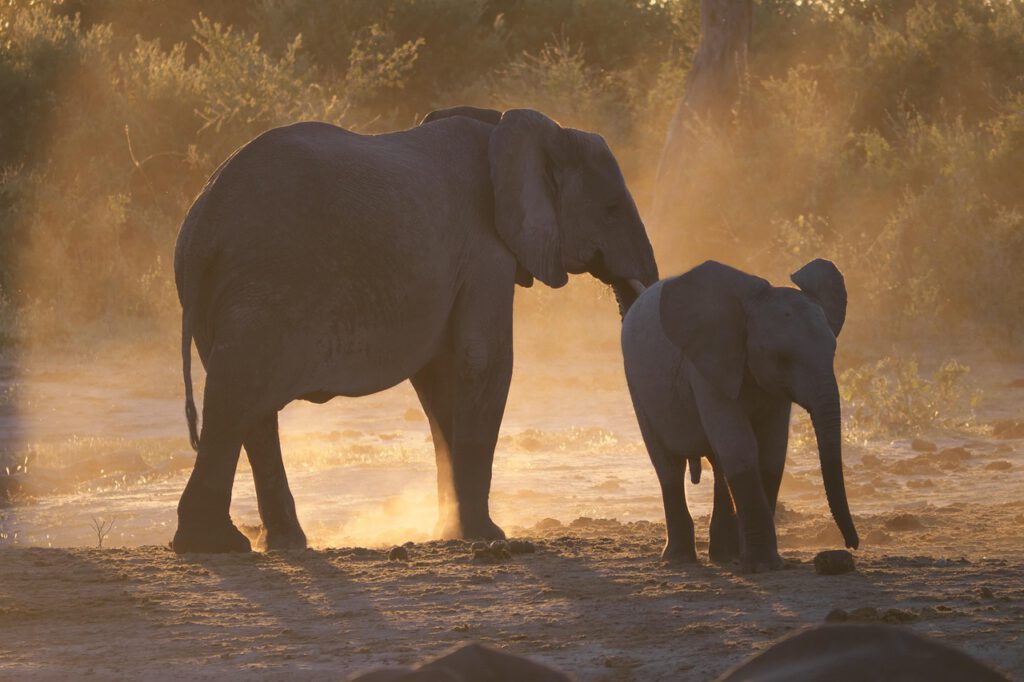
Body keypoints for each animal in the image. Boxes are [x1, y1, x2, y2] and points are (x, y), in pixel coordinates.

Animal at [172, 106, 658, 553]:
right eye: (612, 208)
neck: (516, 127)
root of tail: (201, 224)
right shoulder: (485, 247)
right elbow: (484, 360)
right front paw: (487, 536)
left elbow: (440, 377)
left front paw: (450, 531)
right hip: (265, 285)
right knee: (237, 395)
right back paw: (214, 545)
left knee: (247, 405)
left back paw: (281, 543)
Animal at [621, 259, 858, 572]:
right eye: (782, 358)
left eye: (833, 352)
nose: (852, 545)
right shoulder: (707, 367)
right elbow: (739, 446)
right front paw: (762, 566)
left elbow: (771, 452)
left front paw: (758, 562)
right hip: (636, 385)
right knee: (669, 466)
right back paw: (679, 558)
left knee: (719, 467)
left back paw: (725, 555)